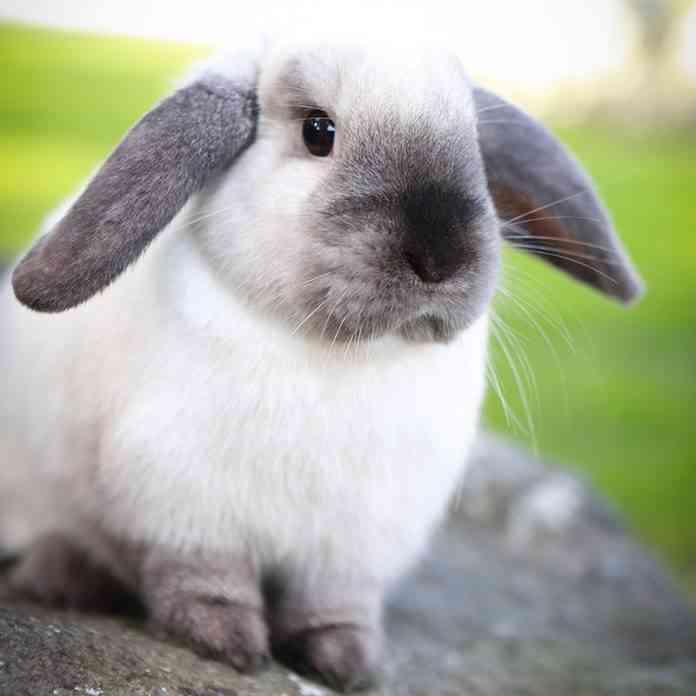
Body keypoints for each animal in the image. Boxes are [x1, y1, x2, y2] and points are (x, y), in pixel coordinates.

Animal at [0, 36, 642, 691]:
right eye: (318, 131)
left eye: (475, 149)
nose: (439, 258)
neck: (343, 353)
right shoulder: (186, 506)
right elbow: (205, 580)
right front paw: (227, 645)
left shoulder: (352, 545)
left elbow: (333, 606)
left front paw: (348, 663)